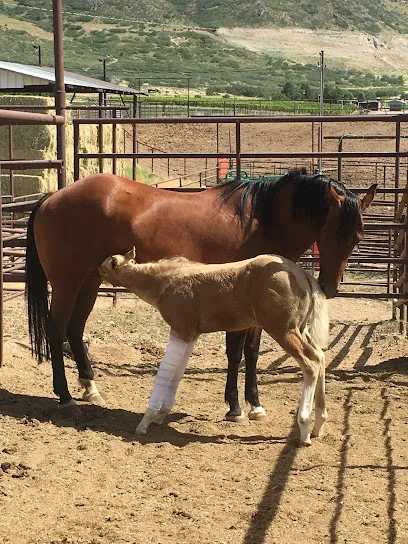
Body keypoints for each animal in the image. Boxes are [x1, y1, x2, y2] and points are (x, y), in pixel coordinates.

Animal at [25, 169, 376, 417]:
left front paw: (255, 404)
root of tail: (52, 197)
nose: (330, 286)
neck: (260, 220)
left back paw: (89, 388)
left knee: (75, 328)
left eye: (358, 236)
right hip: (67, 282)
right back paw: (65, 397)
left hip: (89, 281)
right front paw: (235, 407)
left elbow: (251, 350)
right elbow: (235, 351)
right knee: (57, 330)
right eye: (330, 231)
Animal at [99, 248, 329, 446]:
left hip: (283, 331)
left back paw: (305, 427)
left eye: (103, 267)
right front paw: (161, 415)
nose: (95, 274)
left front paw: (145, 422)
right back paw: (319, 423)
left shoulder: (180, 330)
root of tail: (301, 273)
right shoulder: (190, 335)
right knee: (319, 357)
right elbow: (177, 374)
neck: (165, 282)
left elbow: (165, 373)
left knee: (310, 364)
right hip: (300, 330)